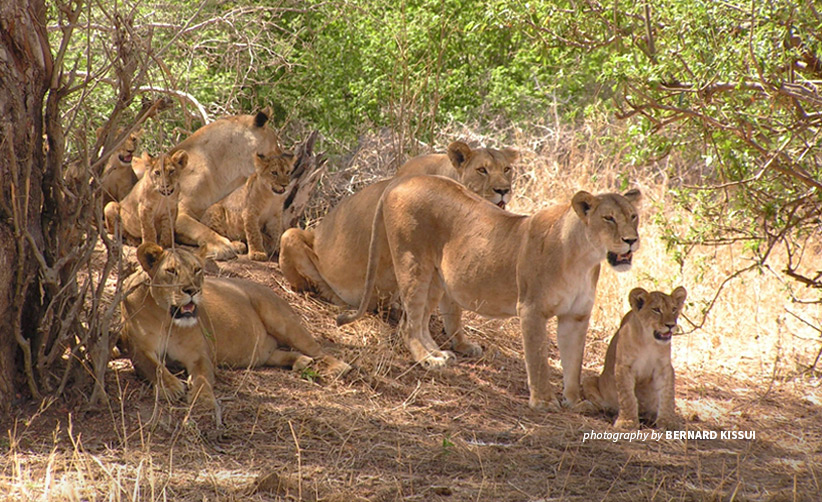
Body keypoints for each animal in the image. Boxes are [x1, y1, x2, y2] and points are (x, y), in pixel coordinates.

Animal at [120, 242, 351, 413]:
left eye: (197, 270)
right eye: (171, 271)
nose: (192, 290)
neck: (166, 319)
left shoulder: (199, 355)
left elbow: (203, 377)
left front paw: (203, 399)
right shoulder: (138, 350)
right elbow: (154, 367)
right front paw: (172, 386)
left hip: (283, 322)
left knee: (317, 349)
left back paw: (338, 366)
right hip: (263, 353)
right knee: (279, 354)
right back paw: (301, 361)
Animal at [279, 142, 518, 356]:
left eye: (507, 169)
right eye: (482, 170)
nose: (503, 190)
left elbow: (453, 311)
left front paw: (461, 344)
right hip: (290, 235)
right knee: (315, 285)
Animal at [337, 175, 641, 411]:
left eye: (634, 216)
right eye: (609, 218)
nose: (632, 240)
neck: (584, 257)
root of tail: (403, 179)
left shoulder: (575, 317)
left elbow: (574, 362)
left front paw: (575, 401)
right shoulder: (531, 309)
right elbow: (539, 359)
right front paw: (543, 401)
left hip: (435, 276)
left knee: (418, 321)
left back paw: (438, 353)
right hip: (413, 263)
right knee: (407, 326)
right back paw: (428, 360)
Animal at [582, 286, 687, 430]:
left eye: (674, 309)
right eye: (656, 309)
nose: (671, 325)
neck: (649, 341)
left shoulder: (664, 368)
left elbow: (667, 395)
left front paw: (668, 421)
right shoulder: (624, 366)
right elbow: (628, 397)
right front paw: (627, 422)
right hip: (588, 380)